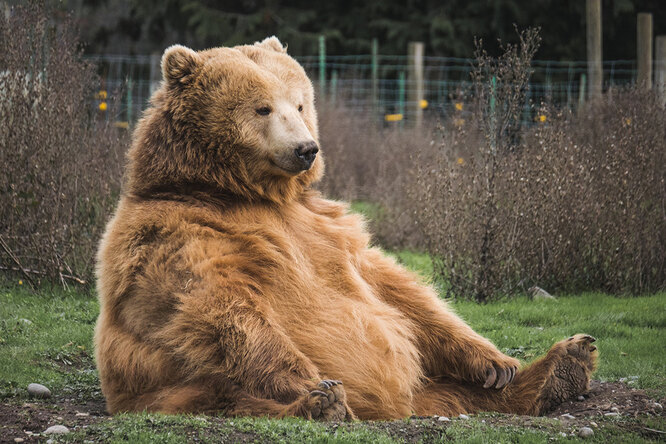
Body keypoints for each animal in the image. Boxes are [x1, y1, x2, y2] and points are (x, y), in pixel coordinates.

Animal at [93, 35, 596, 420]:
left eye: (299, 103)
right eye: (262, 108)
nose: (306, 148)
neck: (245, 192)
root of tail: (398, 407)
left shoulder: (327, 227)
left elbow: (396, 288)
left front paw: (495, 361)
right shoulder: (179, 233)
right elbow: (219, 307)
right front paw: (314, 385)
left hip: (430, 384)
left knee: (459, 390)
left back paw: (562, 365)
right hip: (174, 387)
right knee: (231, 396)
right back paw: (322, 404)